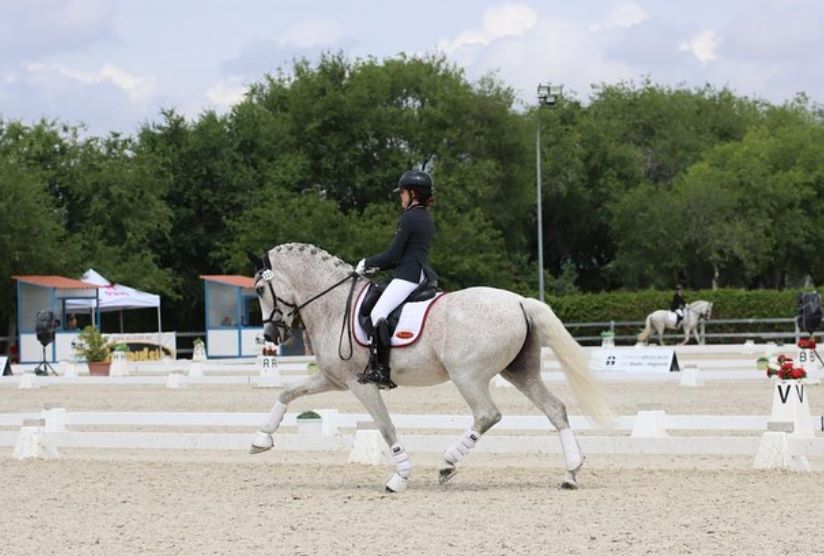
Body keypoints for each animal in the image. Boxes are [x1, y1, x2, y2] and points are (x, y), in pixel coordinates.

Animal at [249, 243, 612, 490]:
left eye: (260, 289)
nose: (269, 335)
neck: (334, 305)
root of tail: (520, 302)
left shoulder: (360, 384)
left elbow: (386, 427)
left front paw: (400, 476)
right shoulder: (333, 379)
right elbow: (286, 393)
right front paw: (261, 441)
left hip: (467, 375)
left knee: (487, 414)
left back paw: (447, 463)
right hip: (519, 372)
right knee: (555, 409)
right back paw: (571, 472)